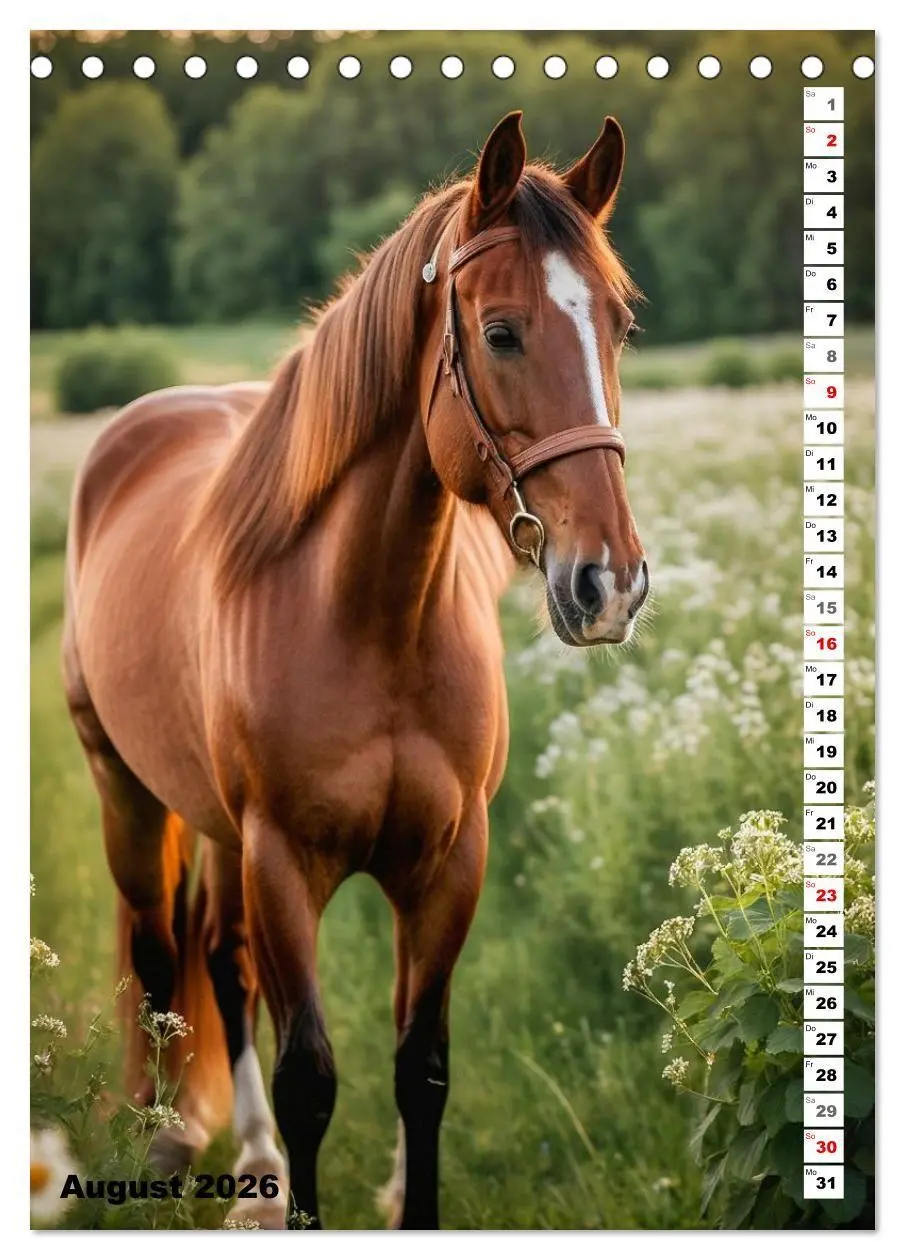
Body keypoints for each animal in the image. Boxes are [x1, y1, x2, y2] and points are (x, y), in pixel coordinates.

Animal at [62, 110, 649, 1229]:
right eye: (500, 332)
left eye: (618, 326)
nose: (610, 584)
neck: (369, 621)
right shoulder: (283, 862)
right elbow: (310, 1080)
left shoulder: (447, 864)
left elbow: (420, 1068)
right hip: (129, 795)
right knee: (164, 962)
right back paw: (168, 1143)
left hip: (216, 830)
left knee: (219, 960)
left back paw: (250, 1165)